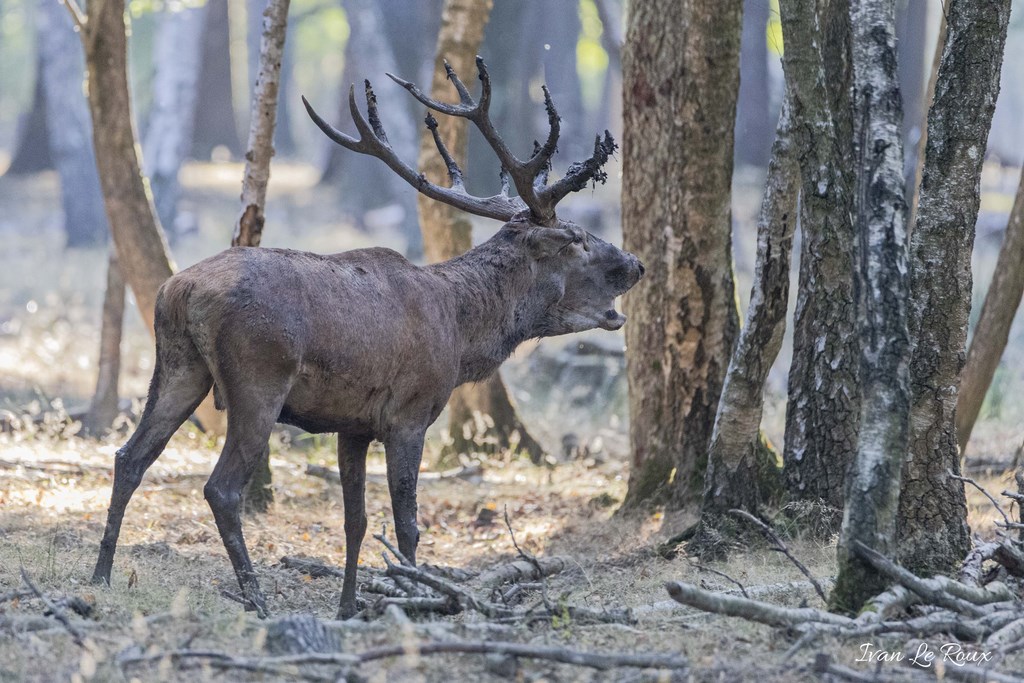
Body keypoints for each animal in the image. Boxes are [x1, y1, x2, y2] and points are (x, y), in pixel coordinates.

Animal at [89, 57, 644, 619]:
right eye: (576, 240)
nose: (634, 264)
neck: (461, 332)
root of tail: (180, 291)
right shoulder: (411, 413)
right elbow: (407, 524)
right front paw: (419, 596)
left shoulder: (351, 425)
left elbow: (353, 522)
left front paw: (348, 606)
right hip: (258, 377)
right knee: (221, 488)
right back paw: (256, 598)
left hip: (178, 366)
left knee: (129, 458)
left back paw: (102, 575)